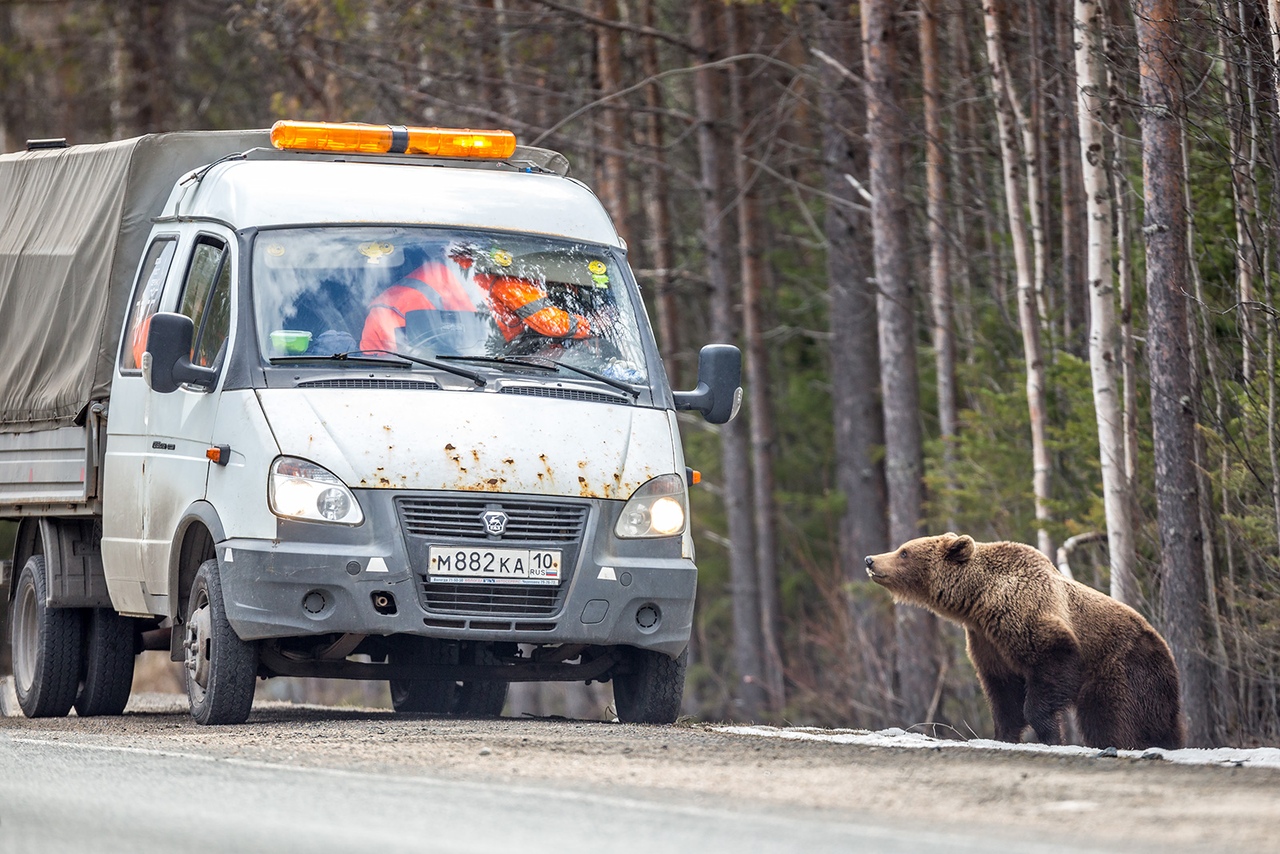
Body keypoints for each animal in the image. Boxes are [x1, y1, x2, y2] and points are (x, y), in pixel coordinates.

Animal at [865, 535, 1182, 747]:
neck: (978, 600)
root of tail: (1166, 649)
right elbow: (1004, 693)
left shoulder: (1026, 615)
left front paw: (1050, 735)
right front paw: (1005, 735)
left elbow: (1051, 662)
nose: (870, 559)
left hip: (1124, 669)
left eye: (904, 552)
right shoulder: (987, 641)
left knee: (1113, 717)